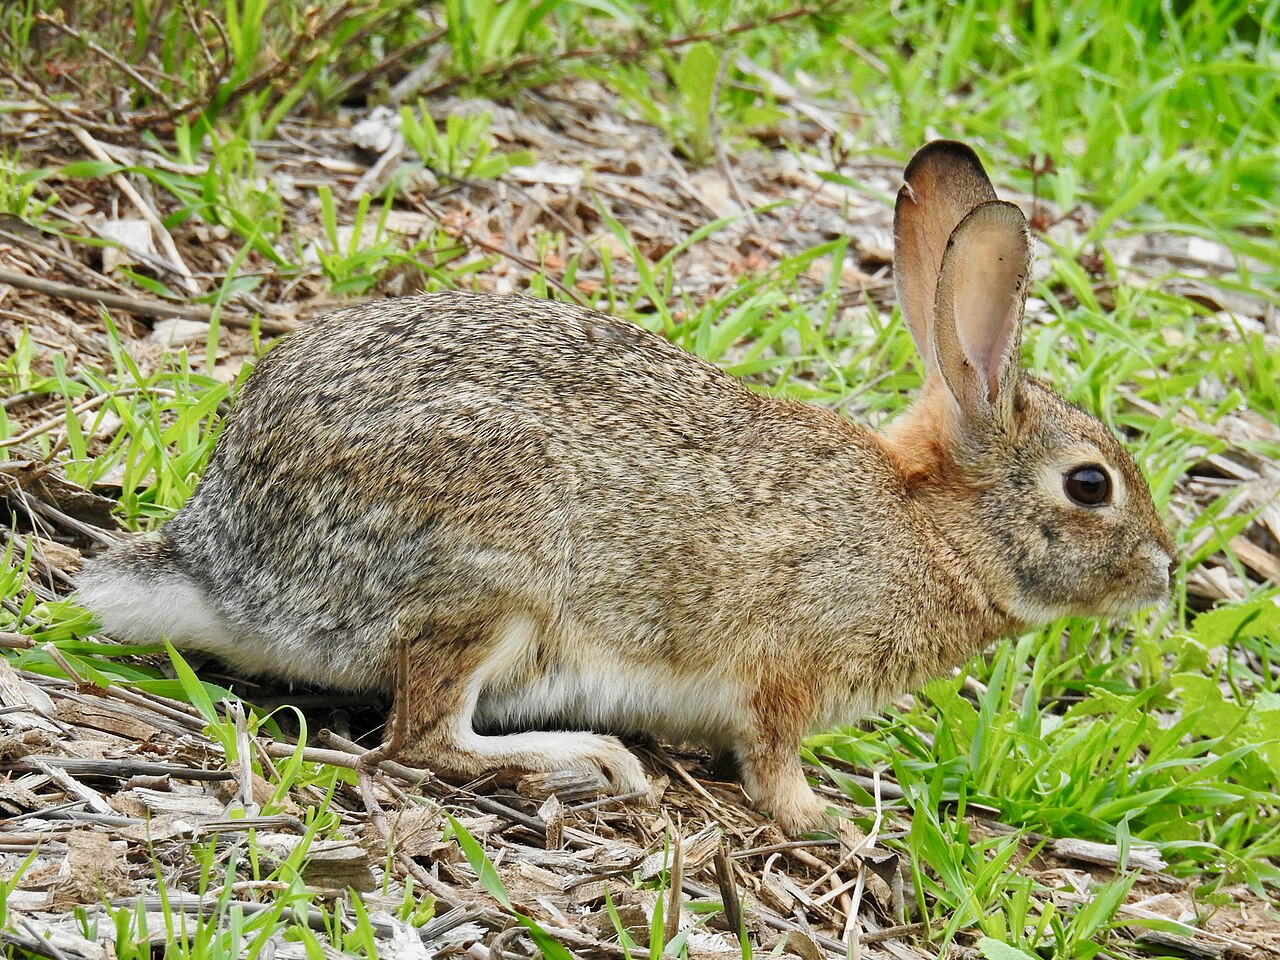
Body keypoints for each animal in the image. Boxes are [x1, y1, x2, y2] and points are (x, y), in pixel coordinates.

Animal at [77, 140, 1176, 833]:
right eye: (1089, 486)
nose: (1165, 572)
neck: (938, 531)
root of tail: (222, 565)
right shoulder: (787, 666)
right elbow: (771, 755)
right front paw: (822, 819)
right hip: (492, 575)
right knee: (421, 740)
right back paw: (592, 759)